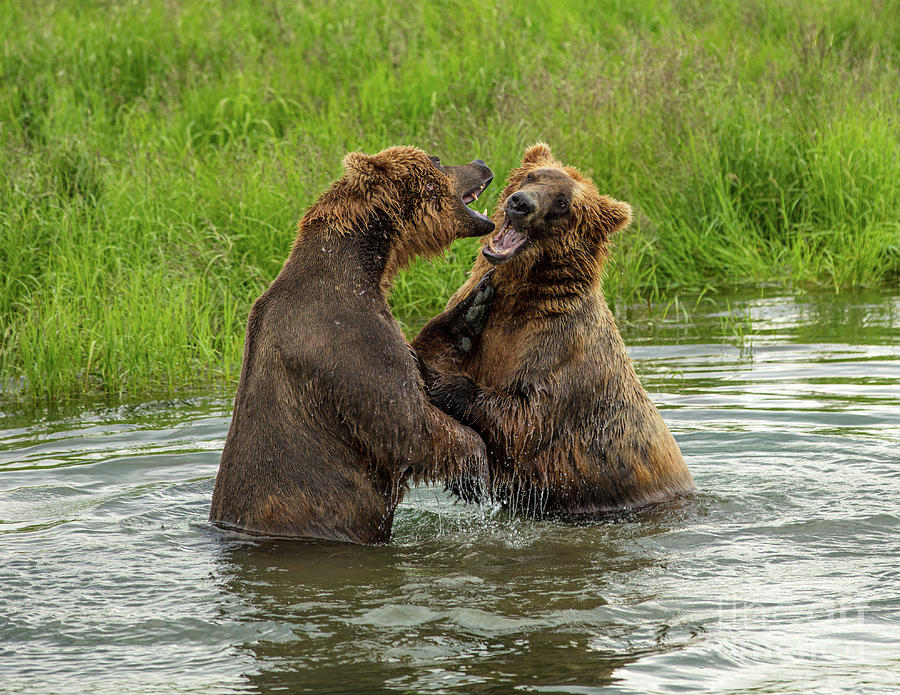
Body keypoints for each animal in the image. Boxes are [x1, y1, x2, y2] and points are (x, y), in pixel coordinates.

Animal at [208, 147, 496, 548]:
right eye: (437, 159)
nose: (481, 163)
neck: (363, 267)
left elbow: (424, 367)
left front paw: (474, 303)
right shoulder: (348, 338)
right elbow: (405, 422)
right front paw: (474, 471)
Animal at [414, 144, 696, 520]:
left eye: (563, 202)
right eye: (532, 177)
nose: (520, 203)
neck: (520, 298)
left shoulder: (561, 351)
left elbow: (525, 422)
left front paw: (445, 381)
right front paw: (470, 310)